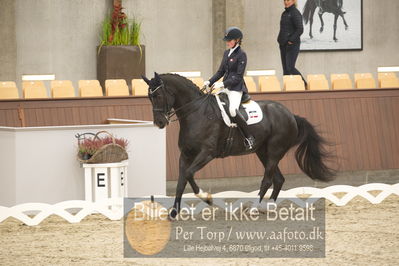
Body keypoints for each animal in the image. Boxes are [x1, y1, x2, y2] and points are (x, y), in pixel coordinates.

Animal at [142, 73, 336, 218]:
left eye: (158, 95)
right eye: (149, 97)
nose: (159, 123)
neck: (197, 113)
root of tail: (290, 115)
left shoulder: (207, 153)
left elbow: (189, 174)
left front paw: (207, 198)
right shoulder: (186, 155)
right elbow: (181, 181)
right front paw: (174, 213)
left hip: (275, 151)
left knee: (267, 179)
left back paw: (254, 208)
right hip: (262, 152)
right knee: (278, 179)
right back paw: (268, 207)